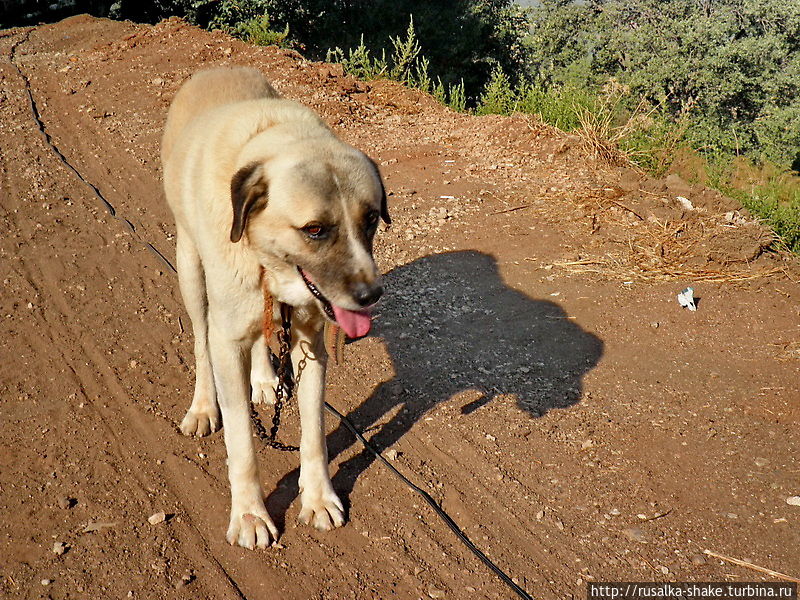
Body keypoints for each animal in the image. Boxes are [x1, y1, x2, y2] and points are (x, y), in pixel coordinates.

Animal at [161, 65, 390, 548]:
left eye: (371, 219)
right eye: (315, 229)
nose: (370, 297)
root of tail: (216, 69)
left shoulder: (311, 346)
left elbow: (314, 434)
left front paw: (318, 498)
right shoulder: (228, 338)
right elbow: (242, 446)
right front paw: (250, 514)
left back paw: (265, 380)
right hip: (190, 268)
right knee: (201, 343)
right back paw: (203, 406)